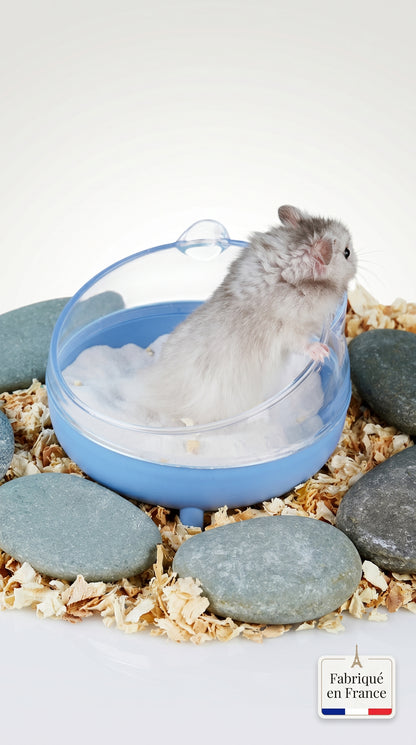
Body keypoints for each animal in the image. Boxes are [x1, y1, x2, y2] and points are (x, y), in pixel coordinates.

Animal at [139, 205, 357, 425]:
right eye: (347, 252)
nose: (357, 259)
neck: (289, 269)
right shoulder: (288, 329)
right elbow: (302, 343)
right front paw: (323, 352)